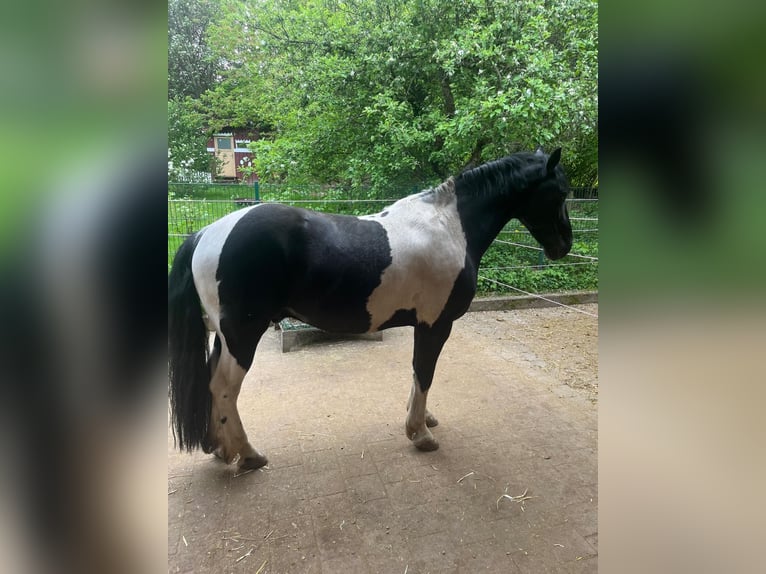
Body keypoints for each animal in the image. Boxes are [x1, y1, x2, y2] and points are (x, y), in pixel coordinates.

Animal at [168, 148, 572, 472]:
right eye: (561, 192)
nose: (564, 246)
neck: (450, 227)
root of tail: (205, 234)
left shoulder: (422, 325)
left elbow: (417, 373)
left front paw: (423, 419)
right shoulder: (436, 324)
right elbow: (425, 373)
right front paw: (419, 434)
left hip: (223, 335)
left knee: (211, 381)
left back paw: (220, 448)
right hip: (242, 334)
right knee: (223, 388)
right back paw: (249, 455)